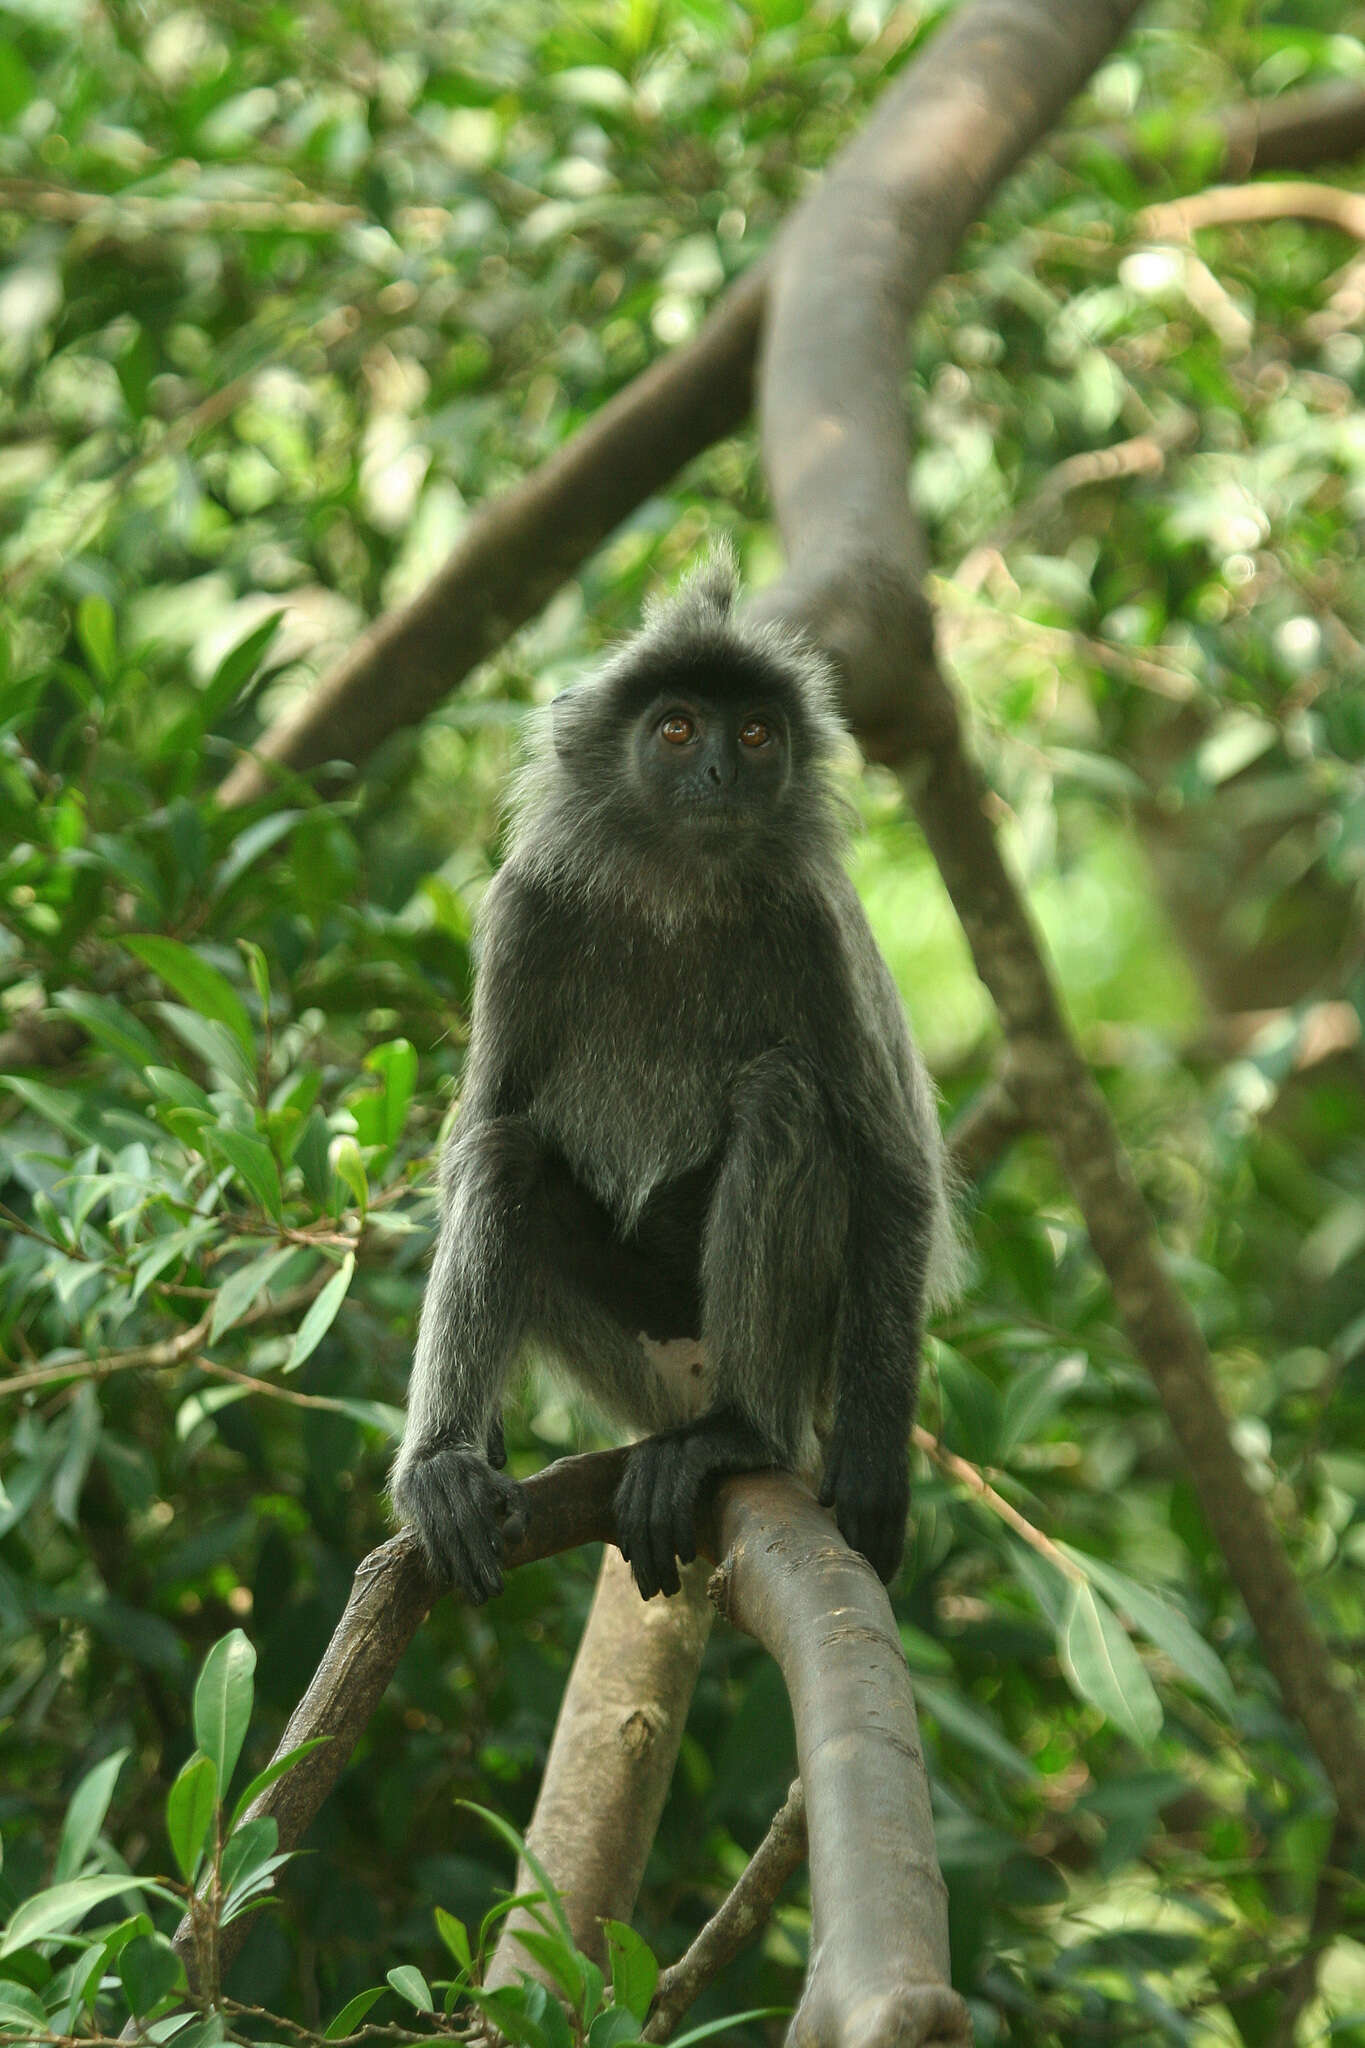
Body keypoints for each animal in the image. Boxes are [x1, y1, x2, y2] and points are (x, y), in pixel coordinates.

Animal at [388, 557, 957, 1597]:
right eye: (679, 728)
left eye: (757, 731)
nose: (721, 771)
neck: (676, 888)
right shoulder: (526, 912)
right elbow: (480, 1126)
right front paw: (470, 1446)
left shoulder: (814, 926)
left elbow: (895, 1174)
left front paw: (871, 1468)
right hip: (627, 1354)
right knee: (500, 1152)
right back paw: (442, 1465)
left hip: (787, 1356)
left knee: (783, 1102)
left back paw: (734, 1433)